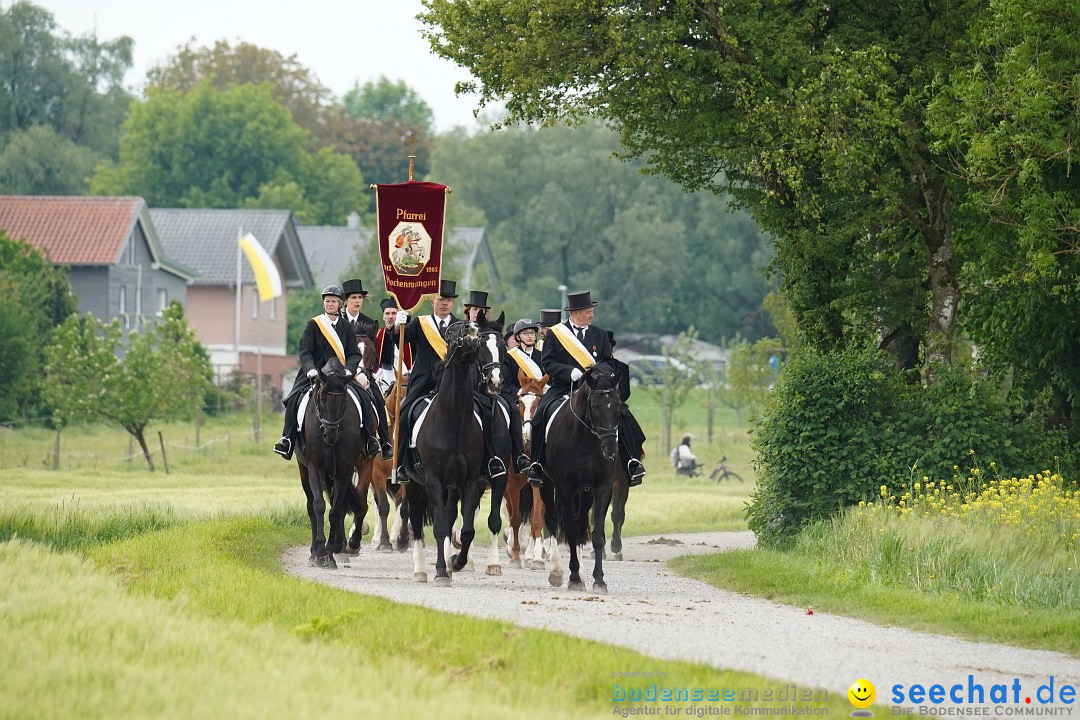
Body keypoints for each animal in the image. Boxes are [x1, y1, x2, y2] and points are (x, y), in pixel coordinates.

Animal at [298, 354, 369, 569]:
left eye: (344, 400)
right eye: (321, 398)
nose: (330, 434)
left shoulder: (345, 471)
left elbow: (336, 511)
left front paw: (329, 552)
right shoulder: (315, 467)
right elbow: (319, 506)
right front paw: (320, 552)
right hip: (303, 470)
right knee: (311, 506)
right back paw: (314, 552)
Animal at [406, 321, 488, 587]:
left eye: (476, 328)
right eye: (451, 331)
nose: (472, 332)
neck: (454, 422)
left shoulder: (470, 482)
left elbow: (466, 530)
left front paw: (456, 562)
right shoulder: (432, 480)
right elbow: (440, 527)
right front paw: (441, 572)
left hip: (452, 487)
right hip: (413, 483)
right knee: (416, 521)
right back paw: (421, 570)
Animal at [535, 362, 622, 595]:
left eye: (618, 405)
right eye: (595, 406)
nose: (610, 448)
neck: (585, 438)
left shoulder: (601, 487)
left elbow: (597, 534)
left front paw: (599, 580)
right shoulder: (565, 488)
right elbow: (572, 531)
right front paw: (573, 577)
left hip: (585, 492)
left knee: (582, 524)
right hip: (547, 484)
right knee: (553, 521)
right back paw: (557, 572)